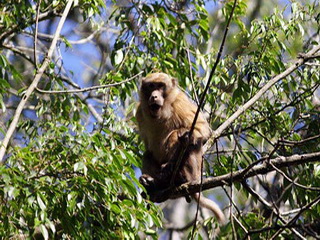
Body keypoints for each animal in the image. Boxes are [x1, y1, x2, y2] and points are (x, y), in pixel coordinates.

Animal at [135, 72, 225, 223]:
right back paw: (155, 184)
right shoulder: (139, 112)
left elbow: (201, 128)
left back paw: (177, 175)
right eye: (151, 86)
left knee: (180, 136)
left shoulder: (180, 102)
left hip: (194, 171)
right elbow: (148, 146)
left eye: (161, 86)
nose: (154, 96)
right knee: (147, 154)